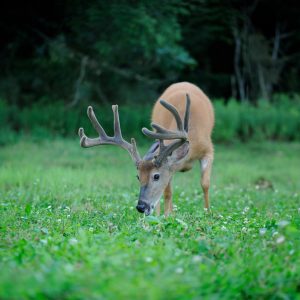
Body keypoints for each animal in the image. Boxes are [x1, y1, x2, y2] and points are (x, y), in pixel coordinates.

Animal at [78, 82, 214, 217]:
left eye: (156, 176)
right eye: (138, 176)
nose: (141, 207)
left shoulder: (208, 149)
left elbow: (205, 183)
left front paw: (207, 212)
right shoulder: (171, 168)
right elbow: (167, 192)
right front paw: (167, 216)